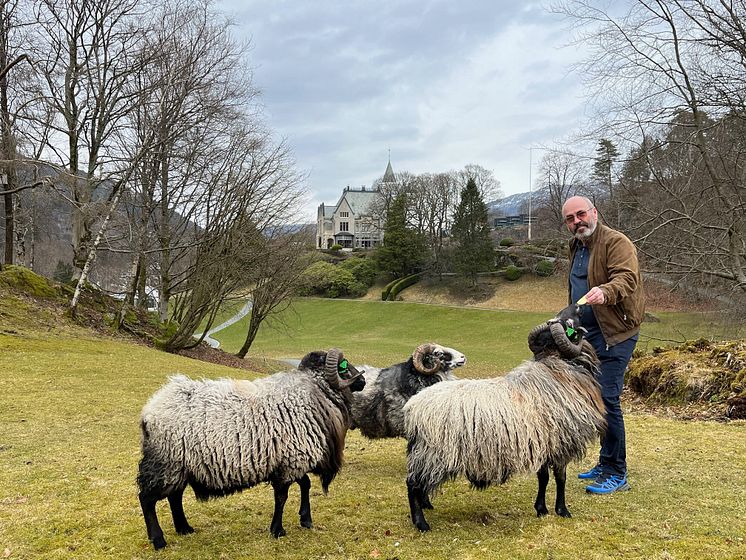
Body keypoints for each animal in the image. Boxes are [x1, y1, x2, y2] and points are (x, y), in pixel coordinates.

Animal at [138, 348, 364, 548]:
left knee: (174, 496)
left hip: (179, 466)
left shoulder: (290, 460)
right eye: (344, 366)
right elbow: (282, 497)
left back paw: (184, 528)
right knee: (147, 499)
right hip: (165, 463)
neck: (313, 392)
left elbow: (305, 484)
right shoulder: (292, 459)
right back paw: (158, 540)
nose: (362, 381)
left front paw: (305, 519)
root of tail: (150, 410)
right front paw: (277, 530)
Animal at [402, 304, 604, 532]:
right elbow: (561, 479)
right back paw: (421, 523)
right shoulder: (562, 442)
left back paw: (426, 506)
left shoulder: (543, 442)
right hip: (434, 452)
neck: (556, 367)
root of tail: (413, 408)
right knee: (412, 484)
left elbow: (543, 477)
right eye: (567, 322)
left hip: (425, 452)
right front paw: (562, 510)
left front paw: (541, 509)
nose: (578, 305)